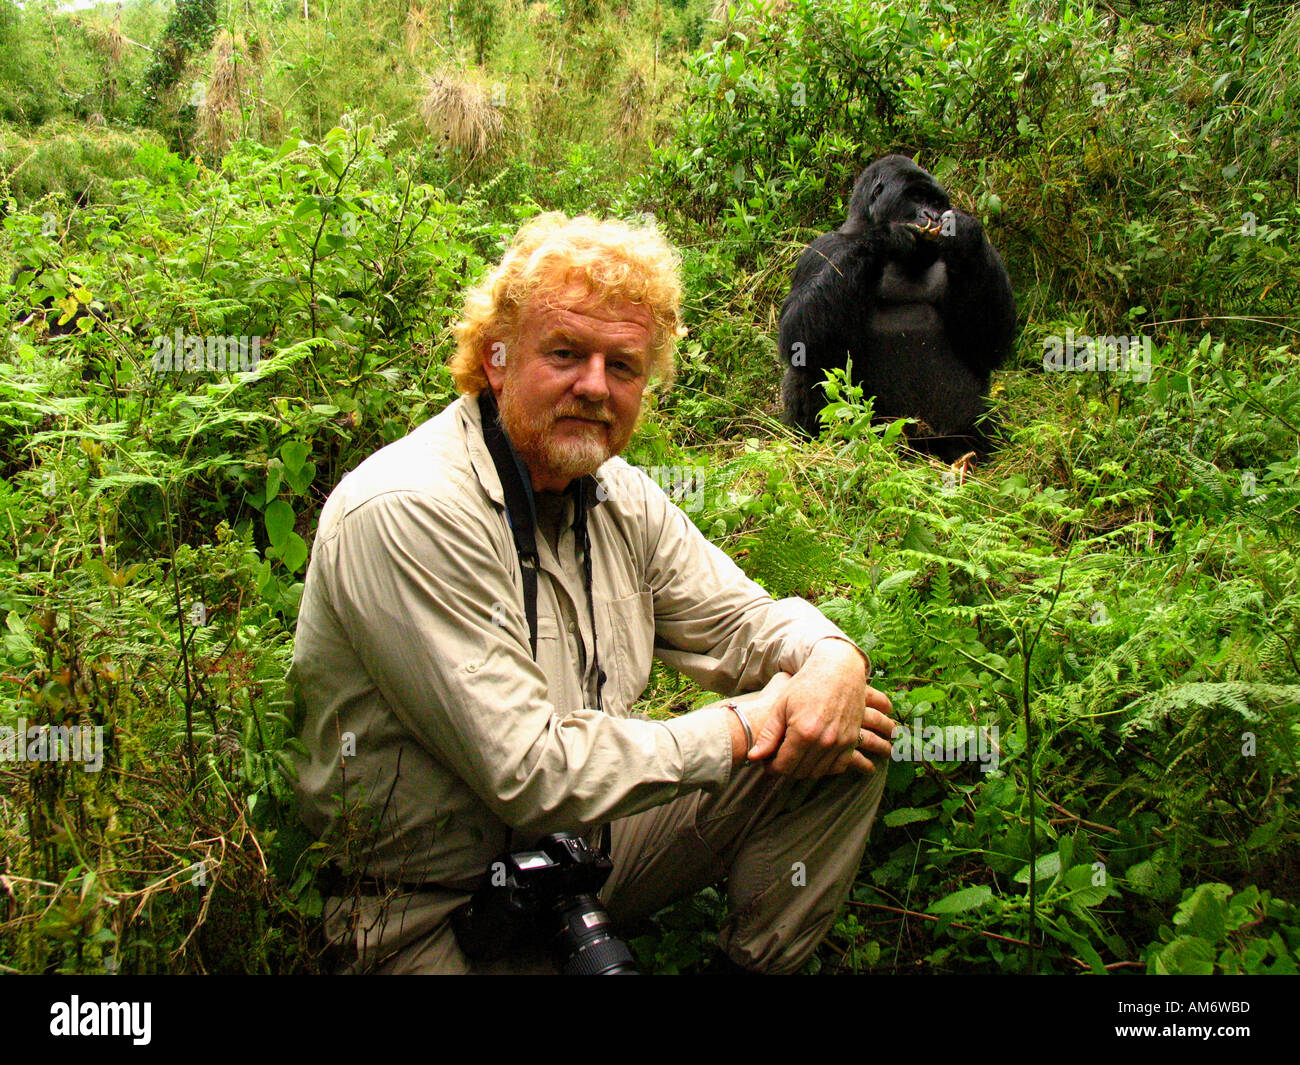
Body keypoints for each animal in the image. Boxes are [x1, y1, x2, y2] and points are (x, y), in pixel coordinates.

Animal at [774, 155, 1019, 462]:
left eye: (937, 203)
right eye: (915, 197)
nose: (932, 215)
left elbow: (987, 344)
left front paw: (964, 231)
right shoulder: (820, 250)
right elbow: (799, 336)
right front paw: (887, 236)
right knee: (809, 366)